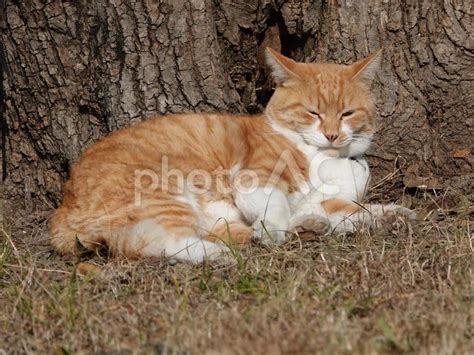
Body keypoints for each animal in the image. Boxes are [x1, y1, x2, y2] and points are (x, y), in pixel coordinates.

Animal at [50, 47, 416, 262]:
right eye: (313, 113)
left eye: (346, 114)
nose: (331, 134)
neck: (325, 158)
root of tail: (64, 206)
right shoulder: (256, 180)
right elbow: (276, 209)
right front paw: (275, 232)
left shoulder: (327, 199)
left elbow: (355, 209)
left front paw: (390, 214)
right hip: (164, 194)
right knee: (156, 242)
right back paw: (219, 252)